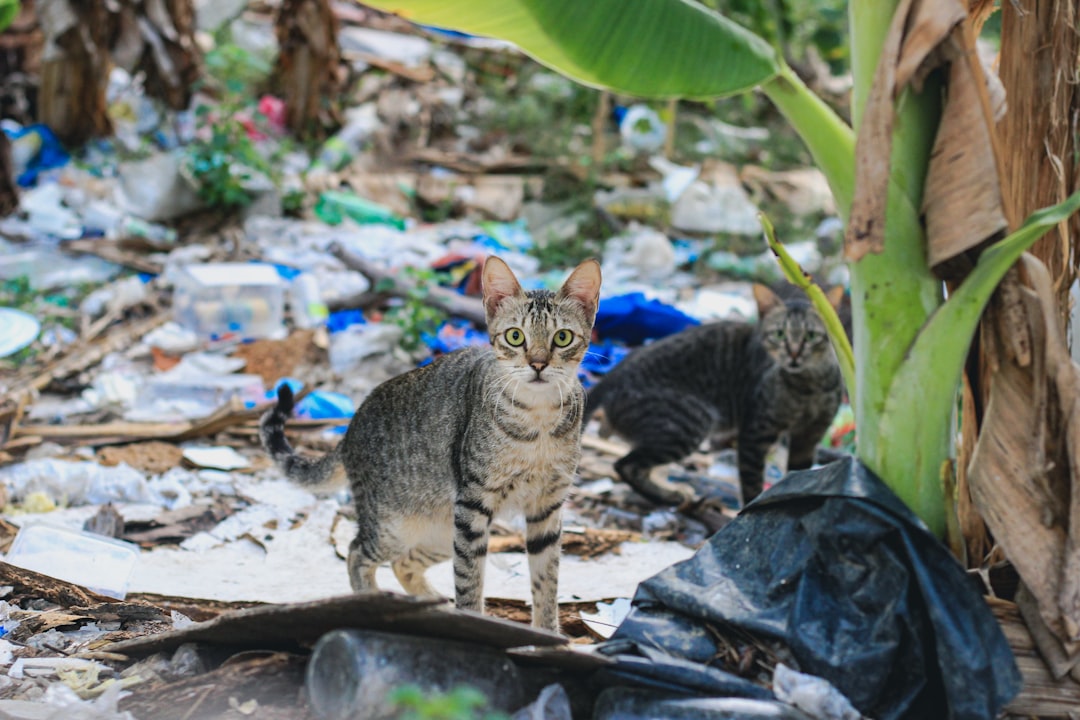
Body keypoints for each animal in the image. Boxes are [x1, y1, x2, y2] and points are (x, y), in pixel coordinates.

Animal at [583, 284, 842, 509]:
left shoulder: (808, 437)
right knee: (626, 465)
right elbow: (752, 484)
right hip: (689, 424)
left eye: (811, 335)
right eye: (779, 334)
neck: (809, 386)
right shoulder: (755, 433)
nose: (794, 354)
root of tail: (614, 373)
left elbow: (800, 476)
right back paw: (670, 496)